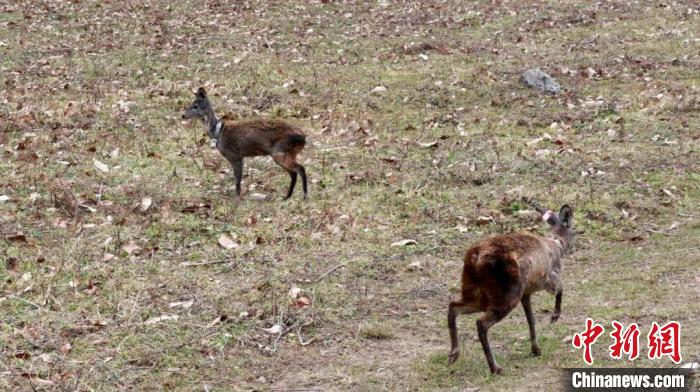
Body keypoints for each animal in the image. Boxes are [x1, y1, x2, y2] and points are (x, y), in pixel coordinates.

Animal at [448, 201, 576, 376]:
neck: (557, 243)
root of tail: (475, 259)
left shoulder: (526, 292)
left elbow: (531, 319)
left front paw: (535, 349)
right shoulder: (548, 277)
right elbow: (560, 289)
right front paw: (554, 316)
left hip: (477, 291)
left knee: (454, 306)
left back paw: (454, 354)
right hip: (508, 291)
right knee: (481, 323)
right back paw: (495, 367)